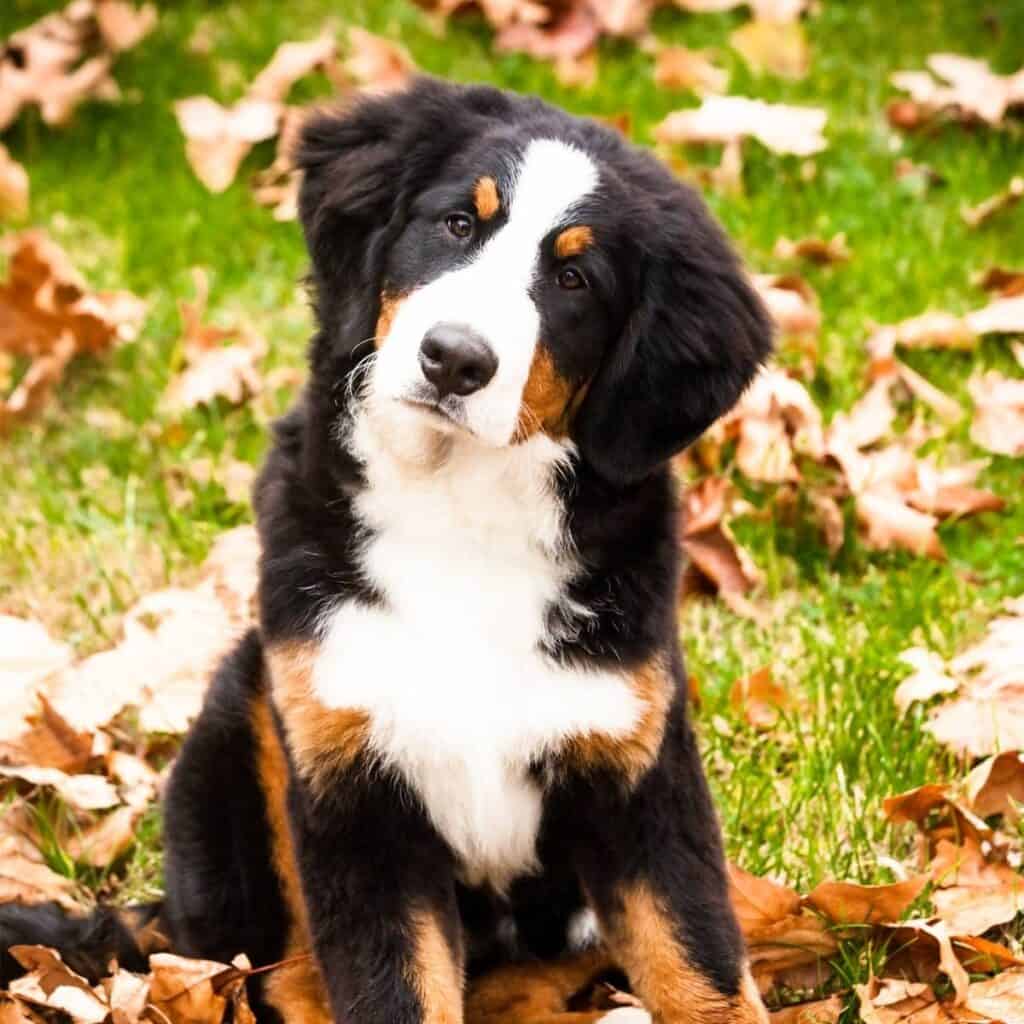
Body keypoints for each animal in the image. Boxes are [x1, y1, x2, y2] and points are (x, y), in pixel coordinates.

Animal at [2, 77, 770, 1024]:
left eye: (574, 278)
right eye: (458, 223)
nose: (455, 359)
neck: (461, 516)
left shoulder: (638, 771)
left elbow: (700, 965)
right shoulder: (354, 788)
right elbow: (391, 985)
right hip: (244, 720)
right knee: (279, 968)